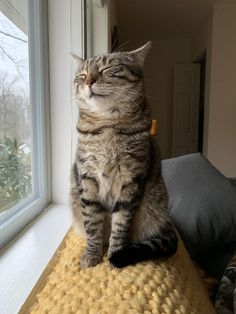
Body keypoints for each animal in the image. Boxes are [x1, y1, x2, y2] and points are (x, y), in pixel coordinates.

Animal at [70, 40, 177, 268]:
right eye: (82, 75)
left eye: (107, 69)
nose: (88, 81)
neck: (107, 125)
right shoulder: (87, 177)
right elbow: (92, 222)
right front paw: (92, 256)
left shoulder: (131, 179)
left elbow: (120, 225)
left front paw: (114, 255)